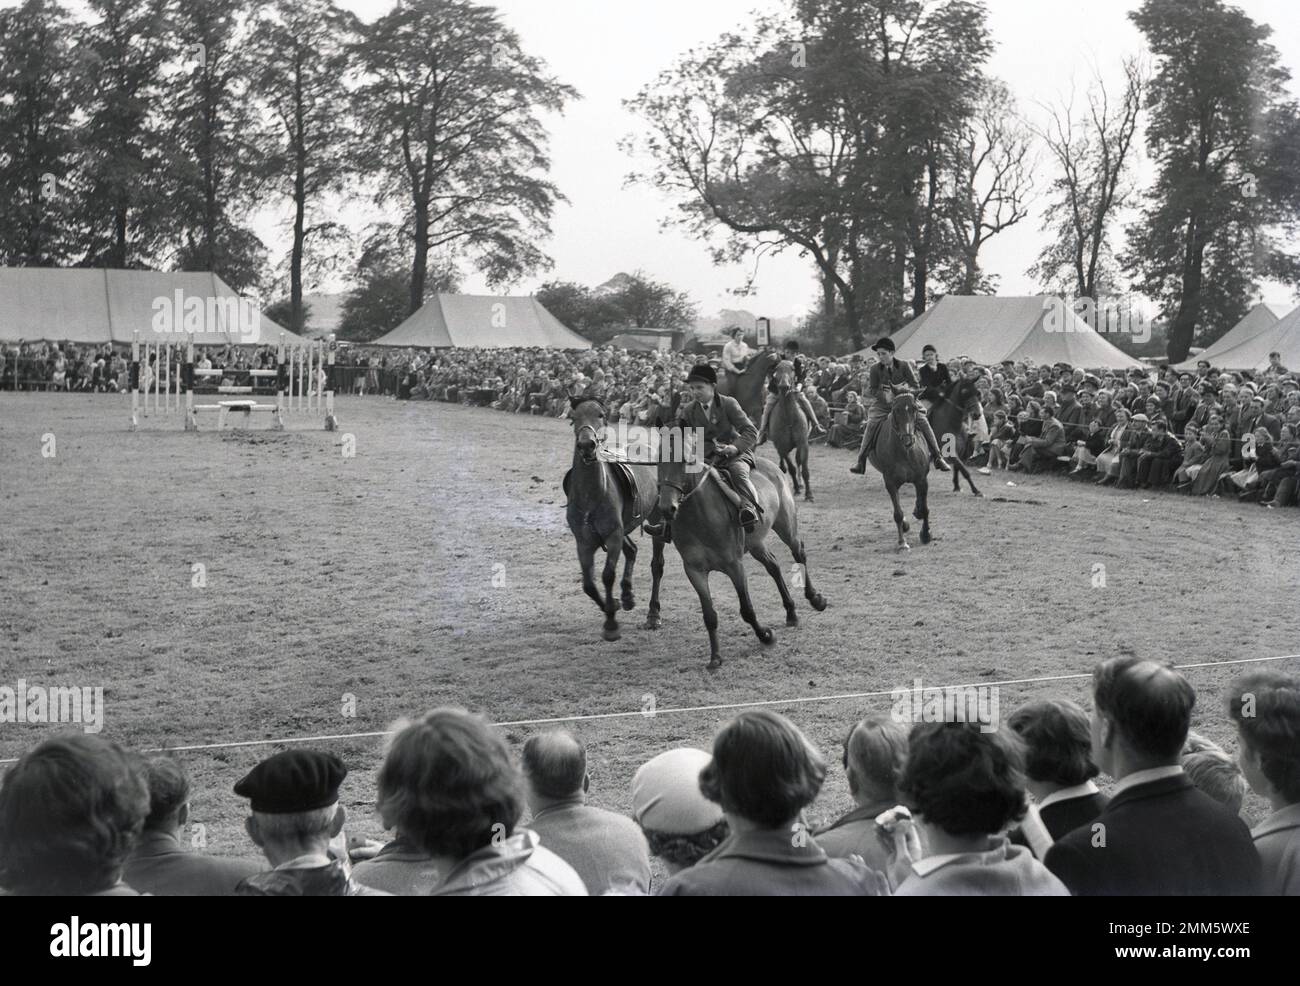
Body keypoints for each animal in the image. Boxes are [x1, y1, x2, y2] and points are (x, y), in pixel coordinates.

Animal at [564, 398, 665, 645]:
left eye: (601, 415)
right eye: (573, 417)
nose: (587, 445)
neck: (591, 494)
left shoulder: (613, 536)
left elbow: (607, 575)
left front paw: (611, 624)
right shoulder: (584, 542)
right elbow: (589, 585)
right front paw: (614, 605)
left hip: (656, 518)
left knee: (656, 565)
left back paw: (653, 614)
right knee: (632, 550)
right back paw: (627, 596)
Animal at [655, 431, 826, 671]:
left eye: (685, 462)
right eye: (658, 462)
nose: (666, 508)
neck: (699, 517)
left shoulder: (734, 566)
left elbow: (746, 609)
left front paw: (765, 636)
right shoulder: (694, 571)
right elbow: (709, 615)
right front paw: (715, 657)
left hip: (786, 527)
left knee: (798, 553)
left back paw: (815, 599)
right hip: (756, 543)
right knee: (773, 566)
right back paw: (791, 612)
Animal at [769, 359, 811, 502]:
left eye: (792, 369)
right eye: (776, 369)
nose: (784, 386)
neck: (789, 419)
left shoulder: (803, 443)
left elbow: (804, 469)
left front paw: (809, 494)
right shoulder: (781, 446)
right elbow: (791, 467)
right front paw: (797, 488)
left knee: (798, 461)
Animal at [868, 392, 930, 548]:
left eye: (914, 409)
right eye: (895, 410)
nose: (908, 440)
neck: (905, 452)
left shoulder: (922, 480)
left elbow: (924, 509)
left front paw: (926, 534)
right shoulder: (890, 483)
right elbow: (898, 513)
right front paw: (902, 542)